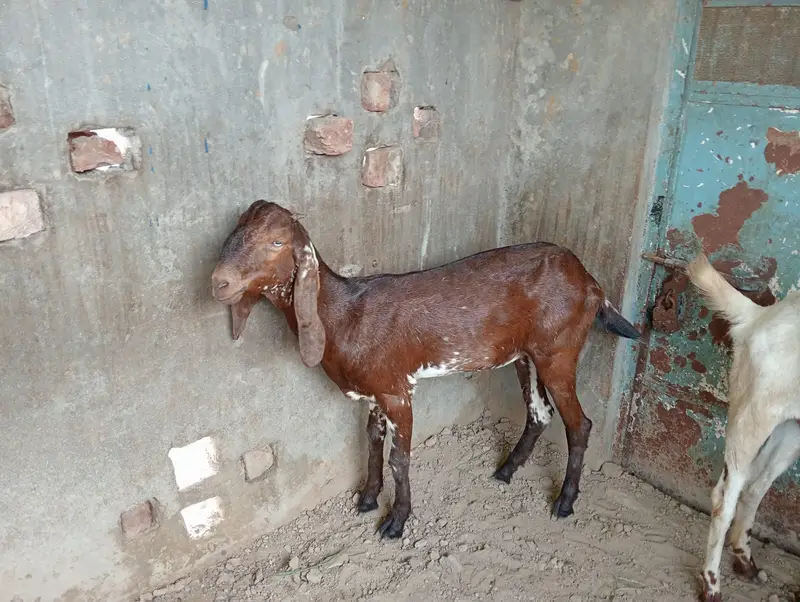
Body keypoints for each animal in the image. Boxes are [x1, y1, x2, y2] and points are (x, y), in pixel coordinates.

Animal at [210, 200, 641, 539]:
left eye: (276, 242)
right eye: (234, 233)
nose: (219, 282)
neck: (343, 315)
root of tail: (591, 282)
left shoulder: (398, 391)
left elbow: (399, 459)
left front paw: (396, 521)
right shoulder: (375, 391)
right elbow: (372, 441)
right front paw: (367, 499)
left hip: (559, 351)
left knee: (579, 423)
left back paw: (565, 501)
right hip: (525, 355)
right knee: (539, 412)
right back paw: (505, 471)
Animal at [687, 253, 800, 602]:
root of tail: (758, 316)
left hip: (789, 428)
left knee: (754, 488)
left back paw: (745, 562)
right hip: (751, 417)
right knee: (724, 497)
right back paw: (711, 584)